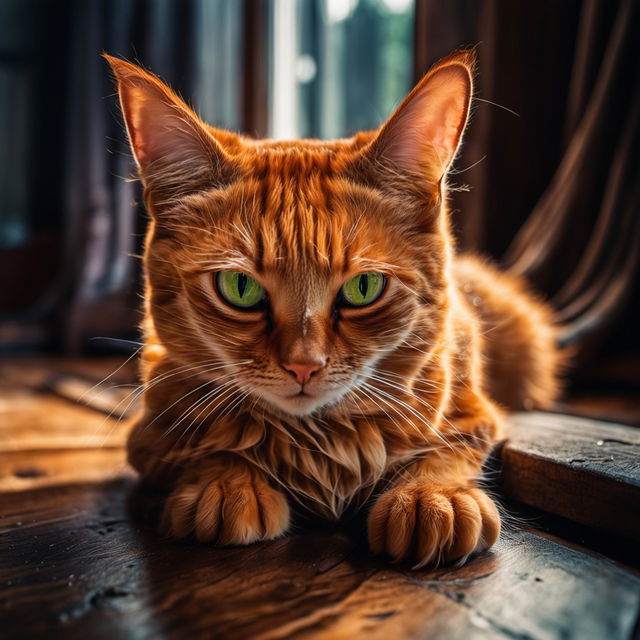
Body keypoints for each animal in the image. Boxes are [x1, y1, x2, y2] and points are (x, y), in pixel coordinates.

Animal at [106, 52, 560, 568]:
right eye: (240, 287)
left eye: (364, 288)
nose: (304, 365)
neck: (320, 443)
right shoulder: (150, 434)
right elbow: (204, 448)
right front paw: (225, 484)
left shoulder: (474, 412)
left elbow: (449, 447)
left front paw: (433, 495)